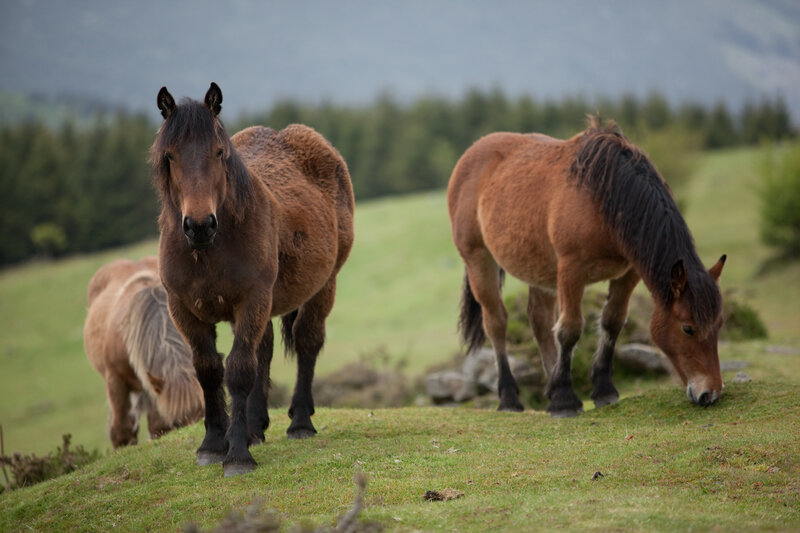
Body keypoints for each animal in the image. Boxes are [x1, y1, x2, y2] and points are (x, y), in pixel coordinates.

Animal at [150, 83, 354, 476]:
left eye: (219, 152)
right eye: (170, 156)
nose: (200, 225)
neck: (210, 249)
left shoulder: (252, 301)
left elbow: (239, 370)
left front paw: (238, 455)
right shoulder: (184, 310)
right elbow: (209, 370)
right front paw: (214, 444)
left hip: (324, 286)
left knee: (306, 342)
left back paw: (300, 422)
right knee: (265, 349)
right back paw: (255, 426)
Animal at [447, 117, 726, 417]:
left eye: (719, 324)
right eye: (687, 328)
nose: (710, 393)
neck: (605, 198)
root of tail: (471, 154)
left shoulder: (629, 273)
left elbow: (612, 322)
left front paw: (602, 390)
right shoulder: (572, 269)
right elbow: (569, 330)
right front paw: (564, 400)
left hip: (540, 268)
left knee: (539, 320)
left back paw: (549, 385)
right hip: (478, 260)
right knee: (497, 322)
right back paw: (510, 399)